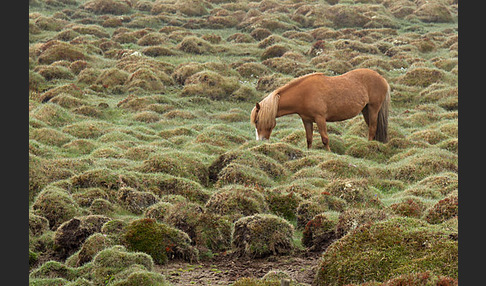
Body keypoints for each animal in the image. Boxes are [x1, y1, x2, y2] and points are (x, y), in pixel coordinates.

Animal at [251, 68, 392, 151]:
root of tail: (382, 78)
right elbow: (309, 139)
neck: (304, 94)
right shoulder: (307, 120)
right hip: (366, 110)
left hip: (374, 108)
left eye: (257, 121)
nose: (260, 141)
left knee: (372, 128)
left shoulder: (320, 118)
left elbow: (325, 138)